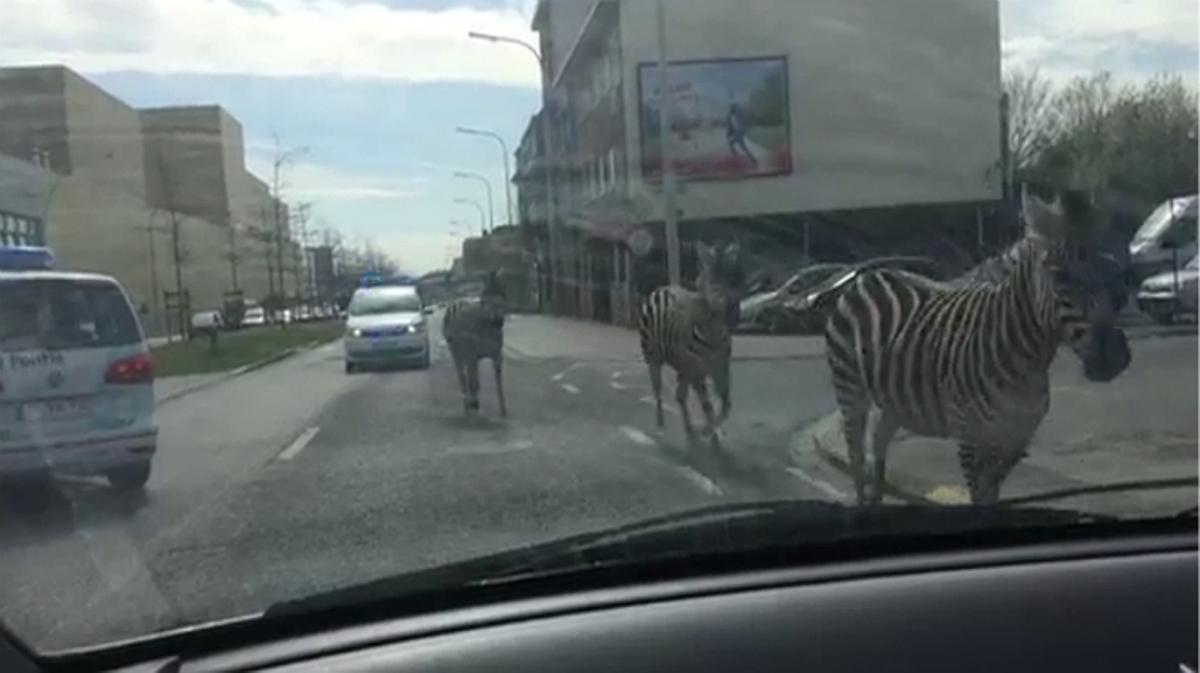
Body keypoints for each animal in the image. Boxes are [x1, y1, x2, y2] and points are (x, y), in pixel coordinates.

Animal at [446, 269, 511, 417]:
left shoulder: (496, 355)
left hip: (466, 354)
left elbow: (499, 383)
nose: (498, 321)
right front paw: (473, 403)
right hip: (457, 352)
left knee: (469, 377)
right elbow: (474, 381)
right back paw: (468, 404)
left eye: (502, 296)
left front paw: (503, 409)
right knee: (463, 377)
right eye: (485, 298)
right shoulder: (472, 354)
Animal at [638, 241, 739, 446]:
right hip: (654, 359)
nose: (723, 303)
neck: (713, 333)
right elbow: (707, 406)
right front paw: (708, 432)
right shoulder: (697, 370)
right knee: (658, 391)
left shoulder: (720, 367)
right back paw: (661, 425)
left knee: (680, 395)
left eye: (731, 276)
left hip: (683, 367)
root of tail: (662, 288)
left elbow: (726, 404)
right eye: (708, 276)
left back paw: (689, 429)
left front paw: (711, 432)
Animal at [811, 189, 1128, 503]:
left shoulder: (1015, 439)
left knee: (876, 450)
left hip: (893, 401)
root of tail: (869, 275)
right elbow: (979, 497)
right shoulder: (971, 437)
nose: (1117, 357)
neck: (1023, 358)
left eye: (1110, 269)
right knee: (856, 458)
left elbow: (993, 495)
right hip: (850, 388)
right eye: (1060, 275)